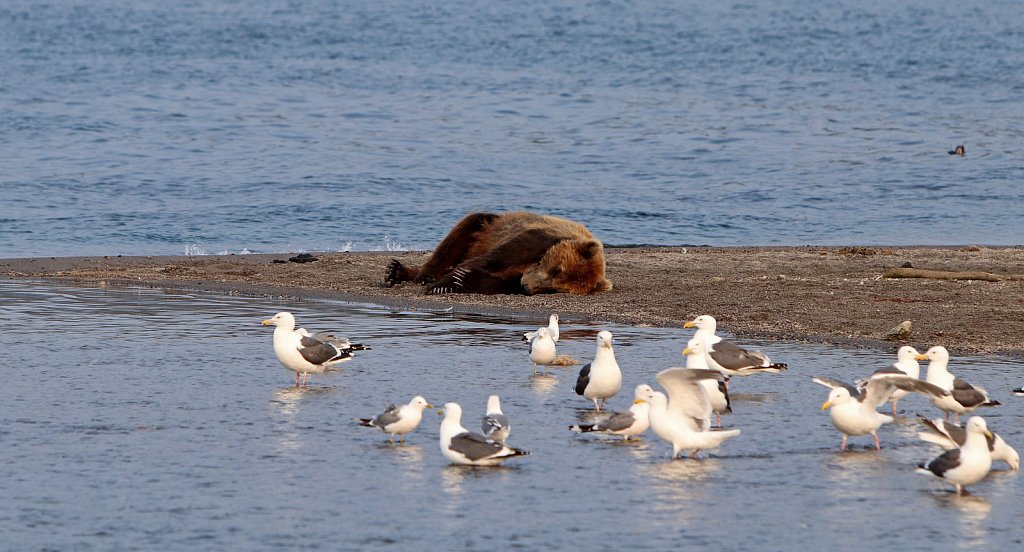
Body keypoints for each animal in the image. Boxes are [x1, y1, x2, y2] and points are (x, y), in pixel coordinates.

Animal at [382, 211, 606, 294]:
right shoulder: (536, 238)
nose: (526, 286)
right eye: (556, 269)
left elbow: (500, 281)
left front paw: (464, 280)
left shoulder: (517, 274)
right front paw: (442, 284)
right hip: (487, 226)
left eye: (554, 289)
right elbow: (492, 259)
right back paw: (407, 273)